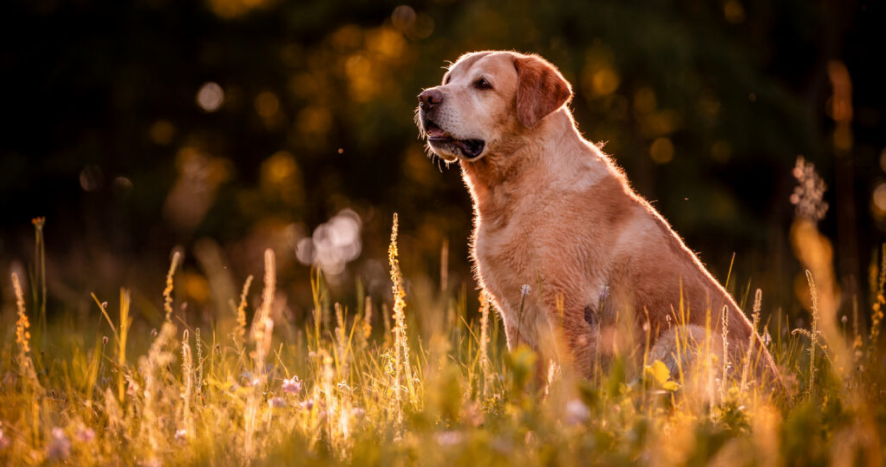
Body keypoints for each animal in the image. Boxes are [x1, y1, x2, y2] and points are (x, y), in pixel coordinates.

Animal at [416, 52, 784, 392]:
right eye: (448, 79)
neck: (513, 193)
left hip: (685, 336)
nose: (426, 98)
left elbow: (573, 389)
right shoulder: (517, 320)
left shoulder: (571, 310)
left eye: (483, 84)